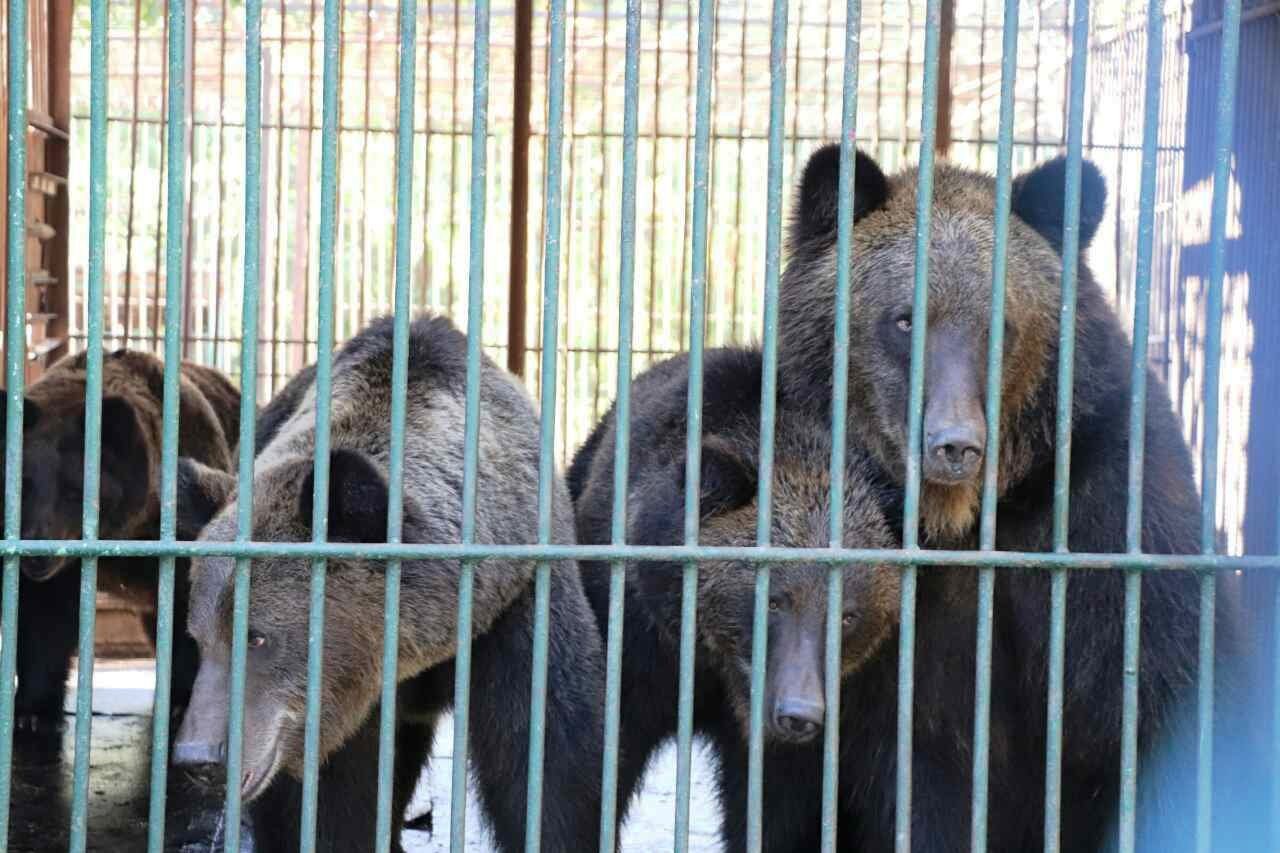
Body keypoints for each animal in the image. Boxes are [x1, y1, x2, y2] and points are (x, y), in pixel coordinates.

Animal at [0, 348, 240, 727]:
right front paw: (31, 711)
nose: (37, 555)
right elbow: (43, 619)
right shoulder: (61, 567)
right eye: (23, 486)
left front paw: (184, 702)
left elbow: (191, 613)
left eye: (74, 490)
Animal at [172, 313, 606, 850]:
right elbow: (334, 801)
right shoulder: (340, 699)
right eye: (201, 637)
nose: (200, 756)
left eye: (257, 637)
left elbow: (547, 757)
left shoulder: (518, 600)